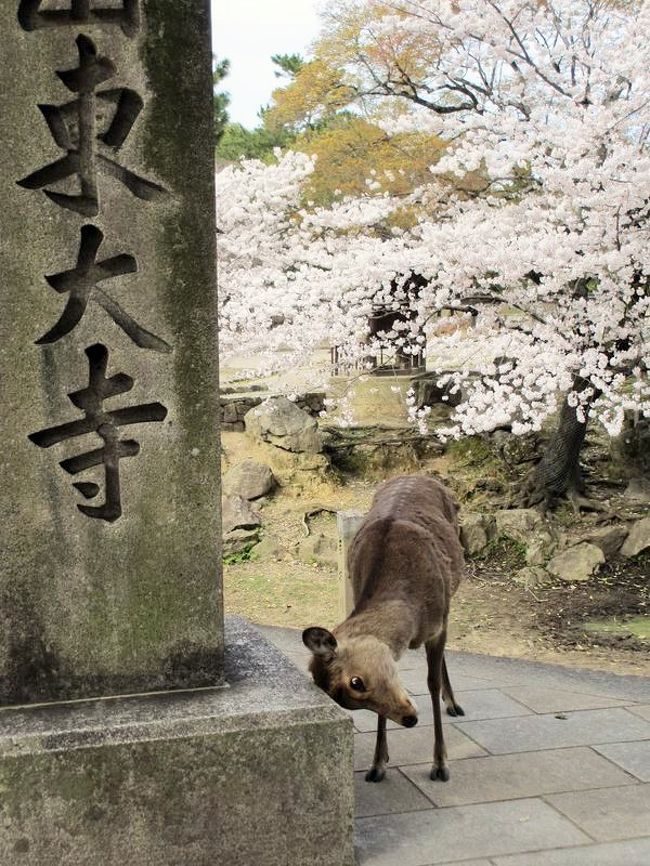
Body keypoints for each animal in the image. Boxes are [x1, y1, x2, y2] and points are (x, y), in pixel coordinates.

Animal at [303, 475, 465, 783]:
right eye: (350, 703)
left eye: (355, 682)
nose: (410, 719)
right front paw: (378, 764)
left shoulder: (438, 624)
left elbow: (432, 681)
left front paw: (440, 764)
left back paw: (453, 703)